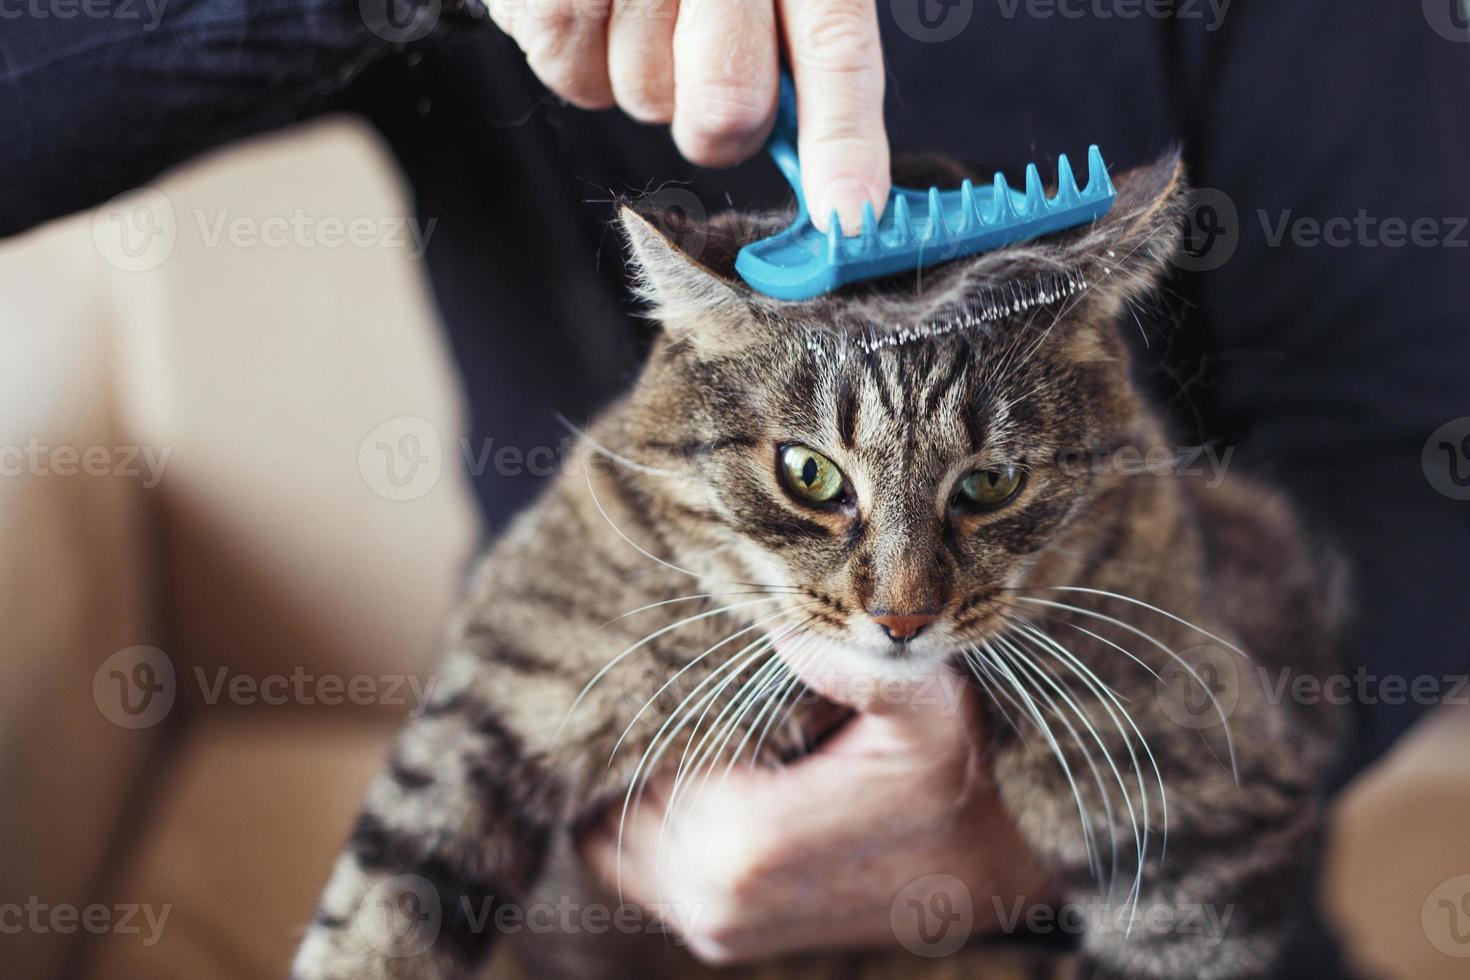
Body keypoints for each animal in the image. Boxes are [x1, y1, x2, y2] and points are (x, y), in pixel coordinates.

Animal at [289, 157, 1346, 980]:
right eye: (809, 474)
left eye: (992, 482)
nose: (904, 616)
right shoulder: (498, 695)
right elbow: (375, 914)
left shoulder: (1204, 798)